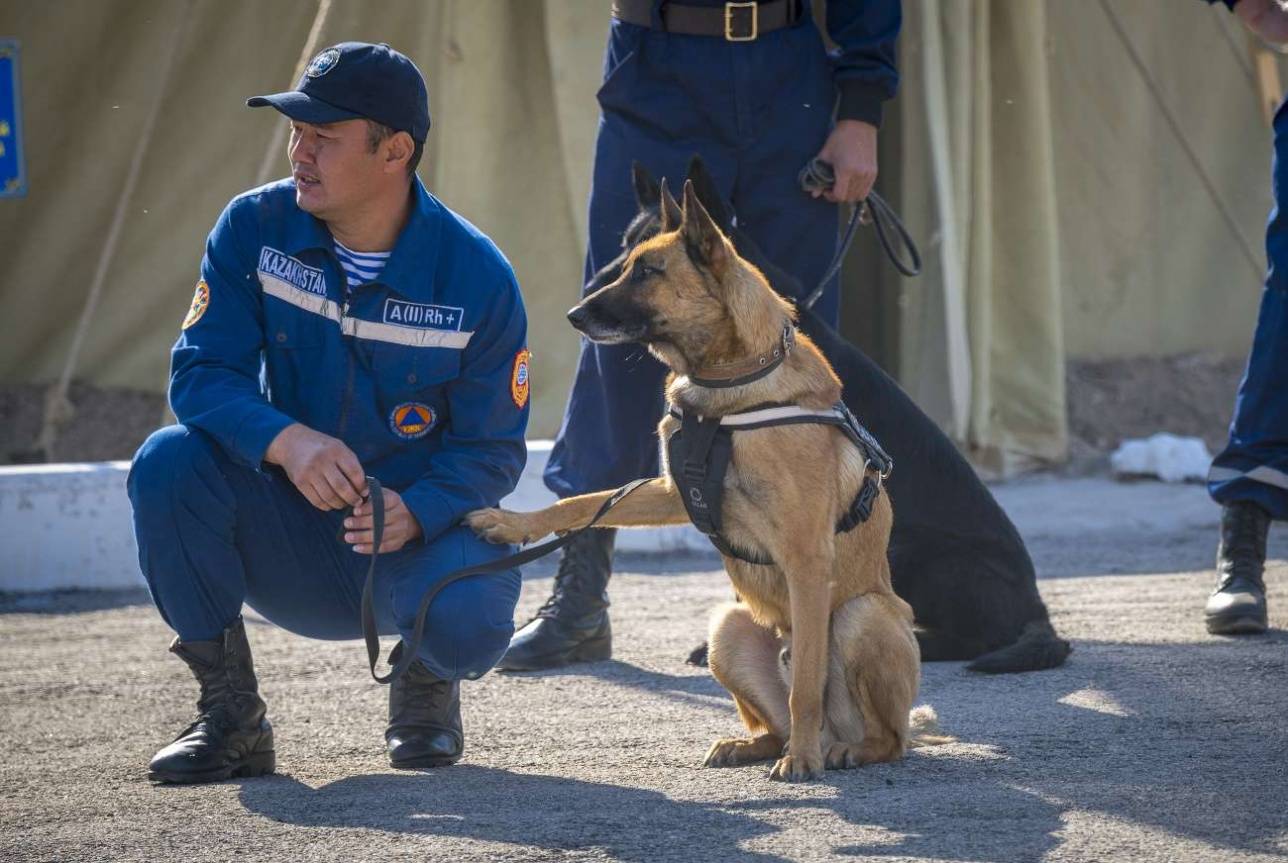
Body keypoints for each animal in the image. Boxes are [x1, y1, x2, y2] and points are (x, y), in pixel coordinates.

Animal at [589, 160, 1071, 674]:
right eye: (625, 246)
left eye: (646, 267)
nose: (578, 304)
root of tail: (1037, 607)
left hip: (907, 547)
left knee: (958, 635)